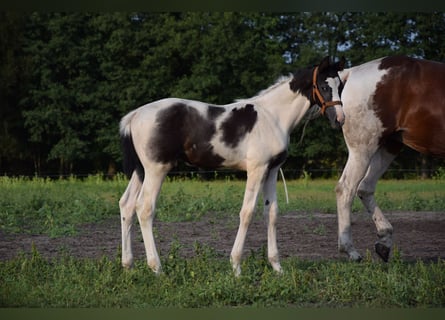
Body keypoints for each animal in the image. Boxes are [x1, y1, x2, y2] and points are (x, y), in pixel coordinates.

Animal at [118, 56, 344, 276]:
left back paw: (128, 266)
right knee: (144, 208)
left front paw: (277, 267)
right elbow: (247, 212)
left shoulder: (271, 171)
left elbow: (271, 213)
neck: (273, 117)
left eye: (340, 85)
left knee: (126, 205)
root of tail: (135, 115)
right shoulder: (256, 170)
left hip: (141, 171)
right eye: (324, 86)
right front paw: (236, 267)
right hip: (156, 170)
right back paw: (157, 268)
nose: (340, 119)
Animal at [336, 55, 444, 262]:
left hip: (389, 146)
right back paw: (350, 250)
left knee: (365, 188)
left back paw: (384, 241)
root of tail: (351, 72)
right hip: (363, 148)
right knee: (346, 189)